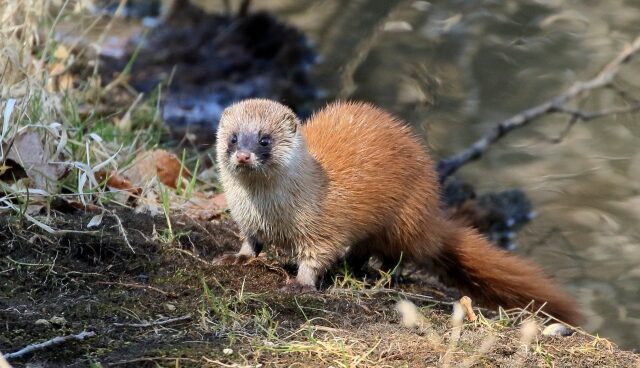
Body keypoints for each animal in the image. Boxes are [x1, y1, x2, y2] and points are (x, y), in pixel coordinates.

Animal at [216, 98, 584, 324]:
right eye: (233, 138)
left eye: (264, 139)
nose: (244, 155)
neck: (270, 213)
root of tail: (431, 215)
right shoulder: (246, 219)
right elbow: (250, 241)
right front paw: (237, 256)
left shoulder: (323, 228)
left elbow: (317, 257)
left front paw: (300, 284)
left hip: (403, 218)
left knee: (399, 253)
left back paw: (381, 273)